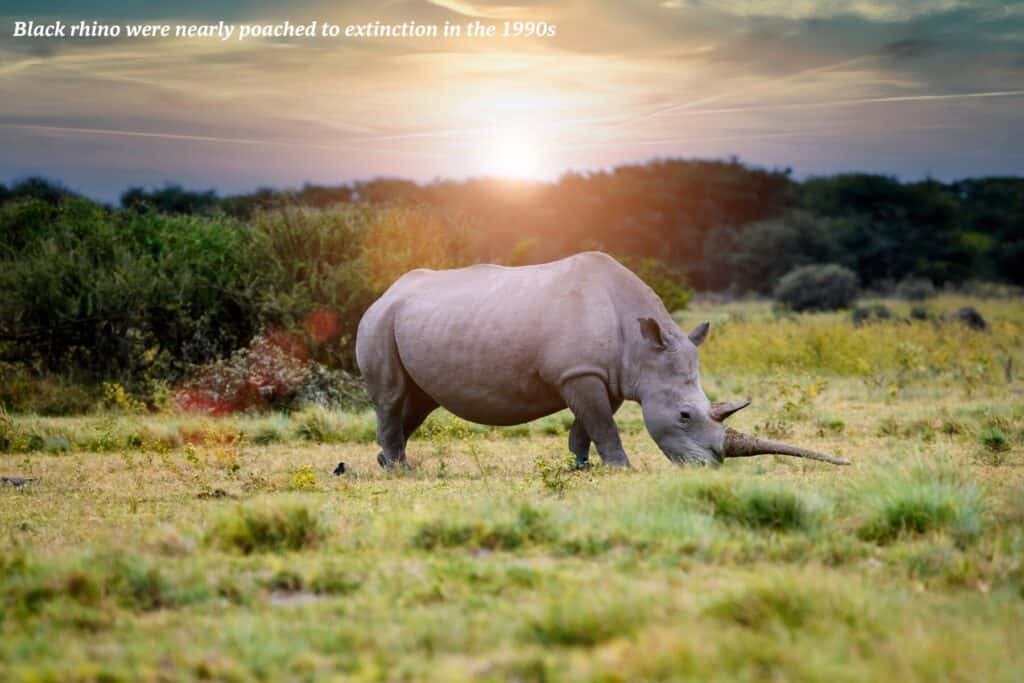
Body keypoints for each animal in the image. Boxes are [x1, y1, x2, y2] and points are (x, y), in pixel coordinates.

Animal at [356, 250, 851, 471]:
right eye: (685, 415)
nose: (710, 466)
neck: (643, 345)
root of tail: (385, 292)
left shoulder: (607, 375)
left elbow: (588, 425)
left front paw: (580, 467)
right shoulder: (581, 372)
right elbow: (604, 425)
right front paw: (621, 469)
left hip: (413, 320)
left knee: (420, 401)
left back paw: (386, 462)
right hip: (380, 320)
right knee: (393, 397)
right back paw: (399, 470)